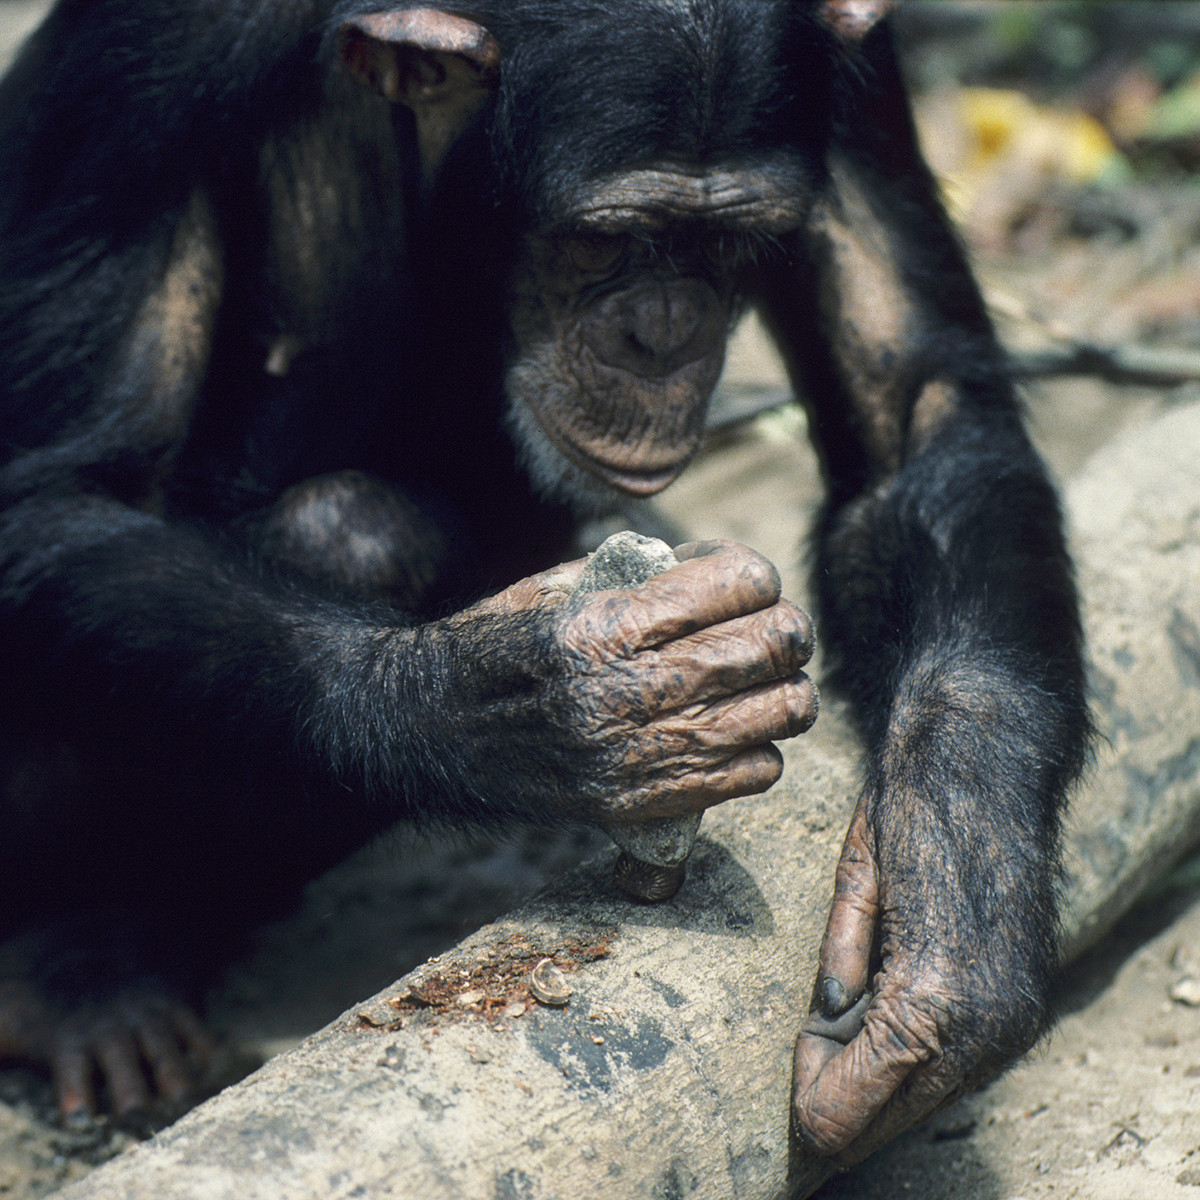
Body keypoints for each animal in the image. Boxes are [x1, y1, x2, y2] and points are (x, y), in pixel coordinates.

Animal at [0, 0, 1089, 1166]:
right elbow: (62, 497)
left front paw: (956, 897)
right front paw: (539, 703)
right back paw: (83, 972)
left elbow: (917, 416)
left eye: (723, 241)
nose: (661, 334)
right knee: (355, 530)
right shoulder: (145, 73)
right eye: (606, 241)